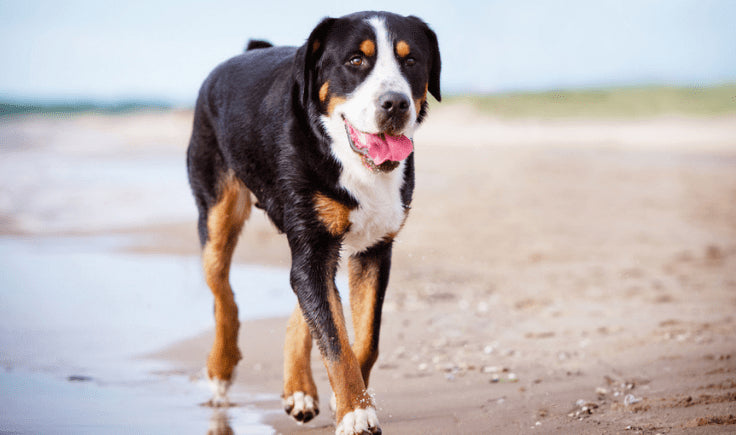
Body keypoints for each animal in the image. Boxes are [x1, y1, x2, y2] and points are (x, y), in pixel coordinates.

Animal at [188, 11, 442, 435]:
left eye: (411, 60)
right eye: (355, 60)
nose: (395, 103)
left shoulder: (374, 249)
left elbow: (361, 338)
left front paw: (351, 401)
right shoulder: (313, 248)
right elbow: (336, 342)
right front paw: (356, 412)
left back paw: (299, 389)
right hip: (218, 214)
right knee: (223, 294)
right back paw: (221, 370)